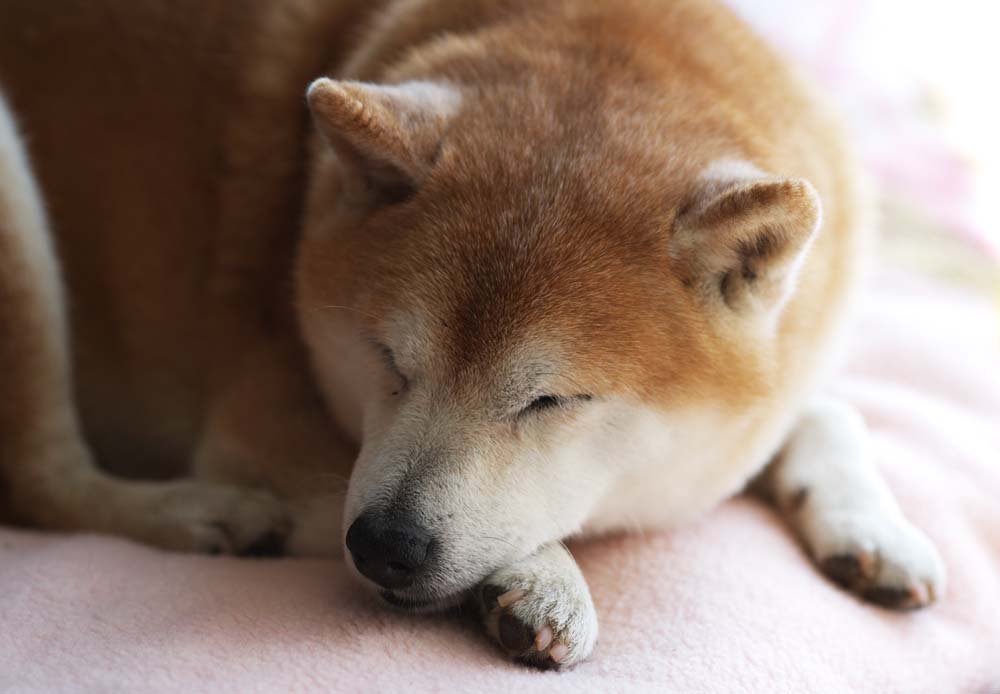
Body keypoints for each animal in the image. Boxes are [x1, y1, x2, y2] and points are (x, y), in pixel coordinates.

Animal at [0, 0, 944, 672]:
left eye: (551, 399)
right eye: (387, 359)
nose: (384, 546)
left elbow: (827, 412)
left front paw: (873, 526)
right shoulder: (261, 434)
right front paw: (545, 576)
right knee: (38, 486)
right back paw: (204, 514)